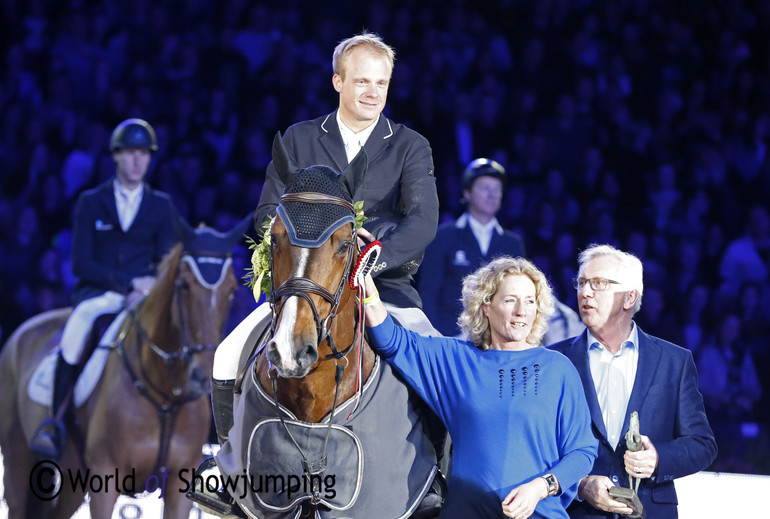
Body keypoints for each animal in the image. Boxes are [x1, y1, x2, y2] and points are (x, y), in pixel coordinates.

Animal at [0, 220, 246, 519]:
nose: (202, 374)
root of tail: (21, 332)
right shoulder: (105, 477)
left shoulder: (180, 485)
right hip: (18, 461)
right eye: (184, 286)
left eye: (231, 290)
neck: (165, 392)